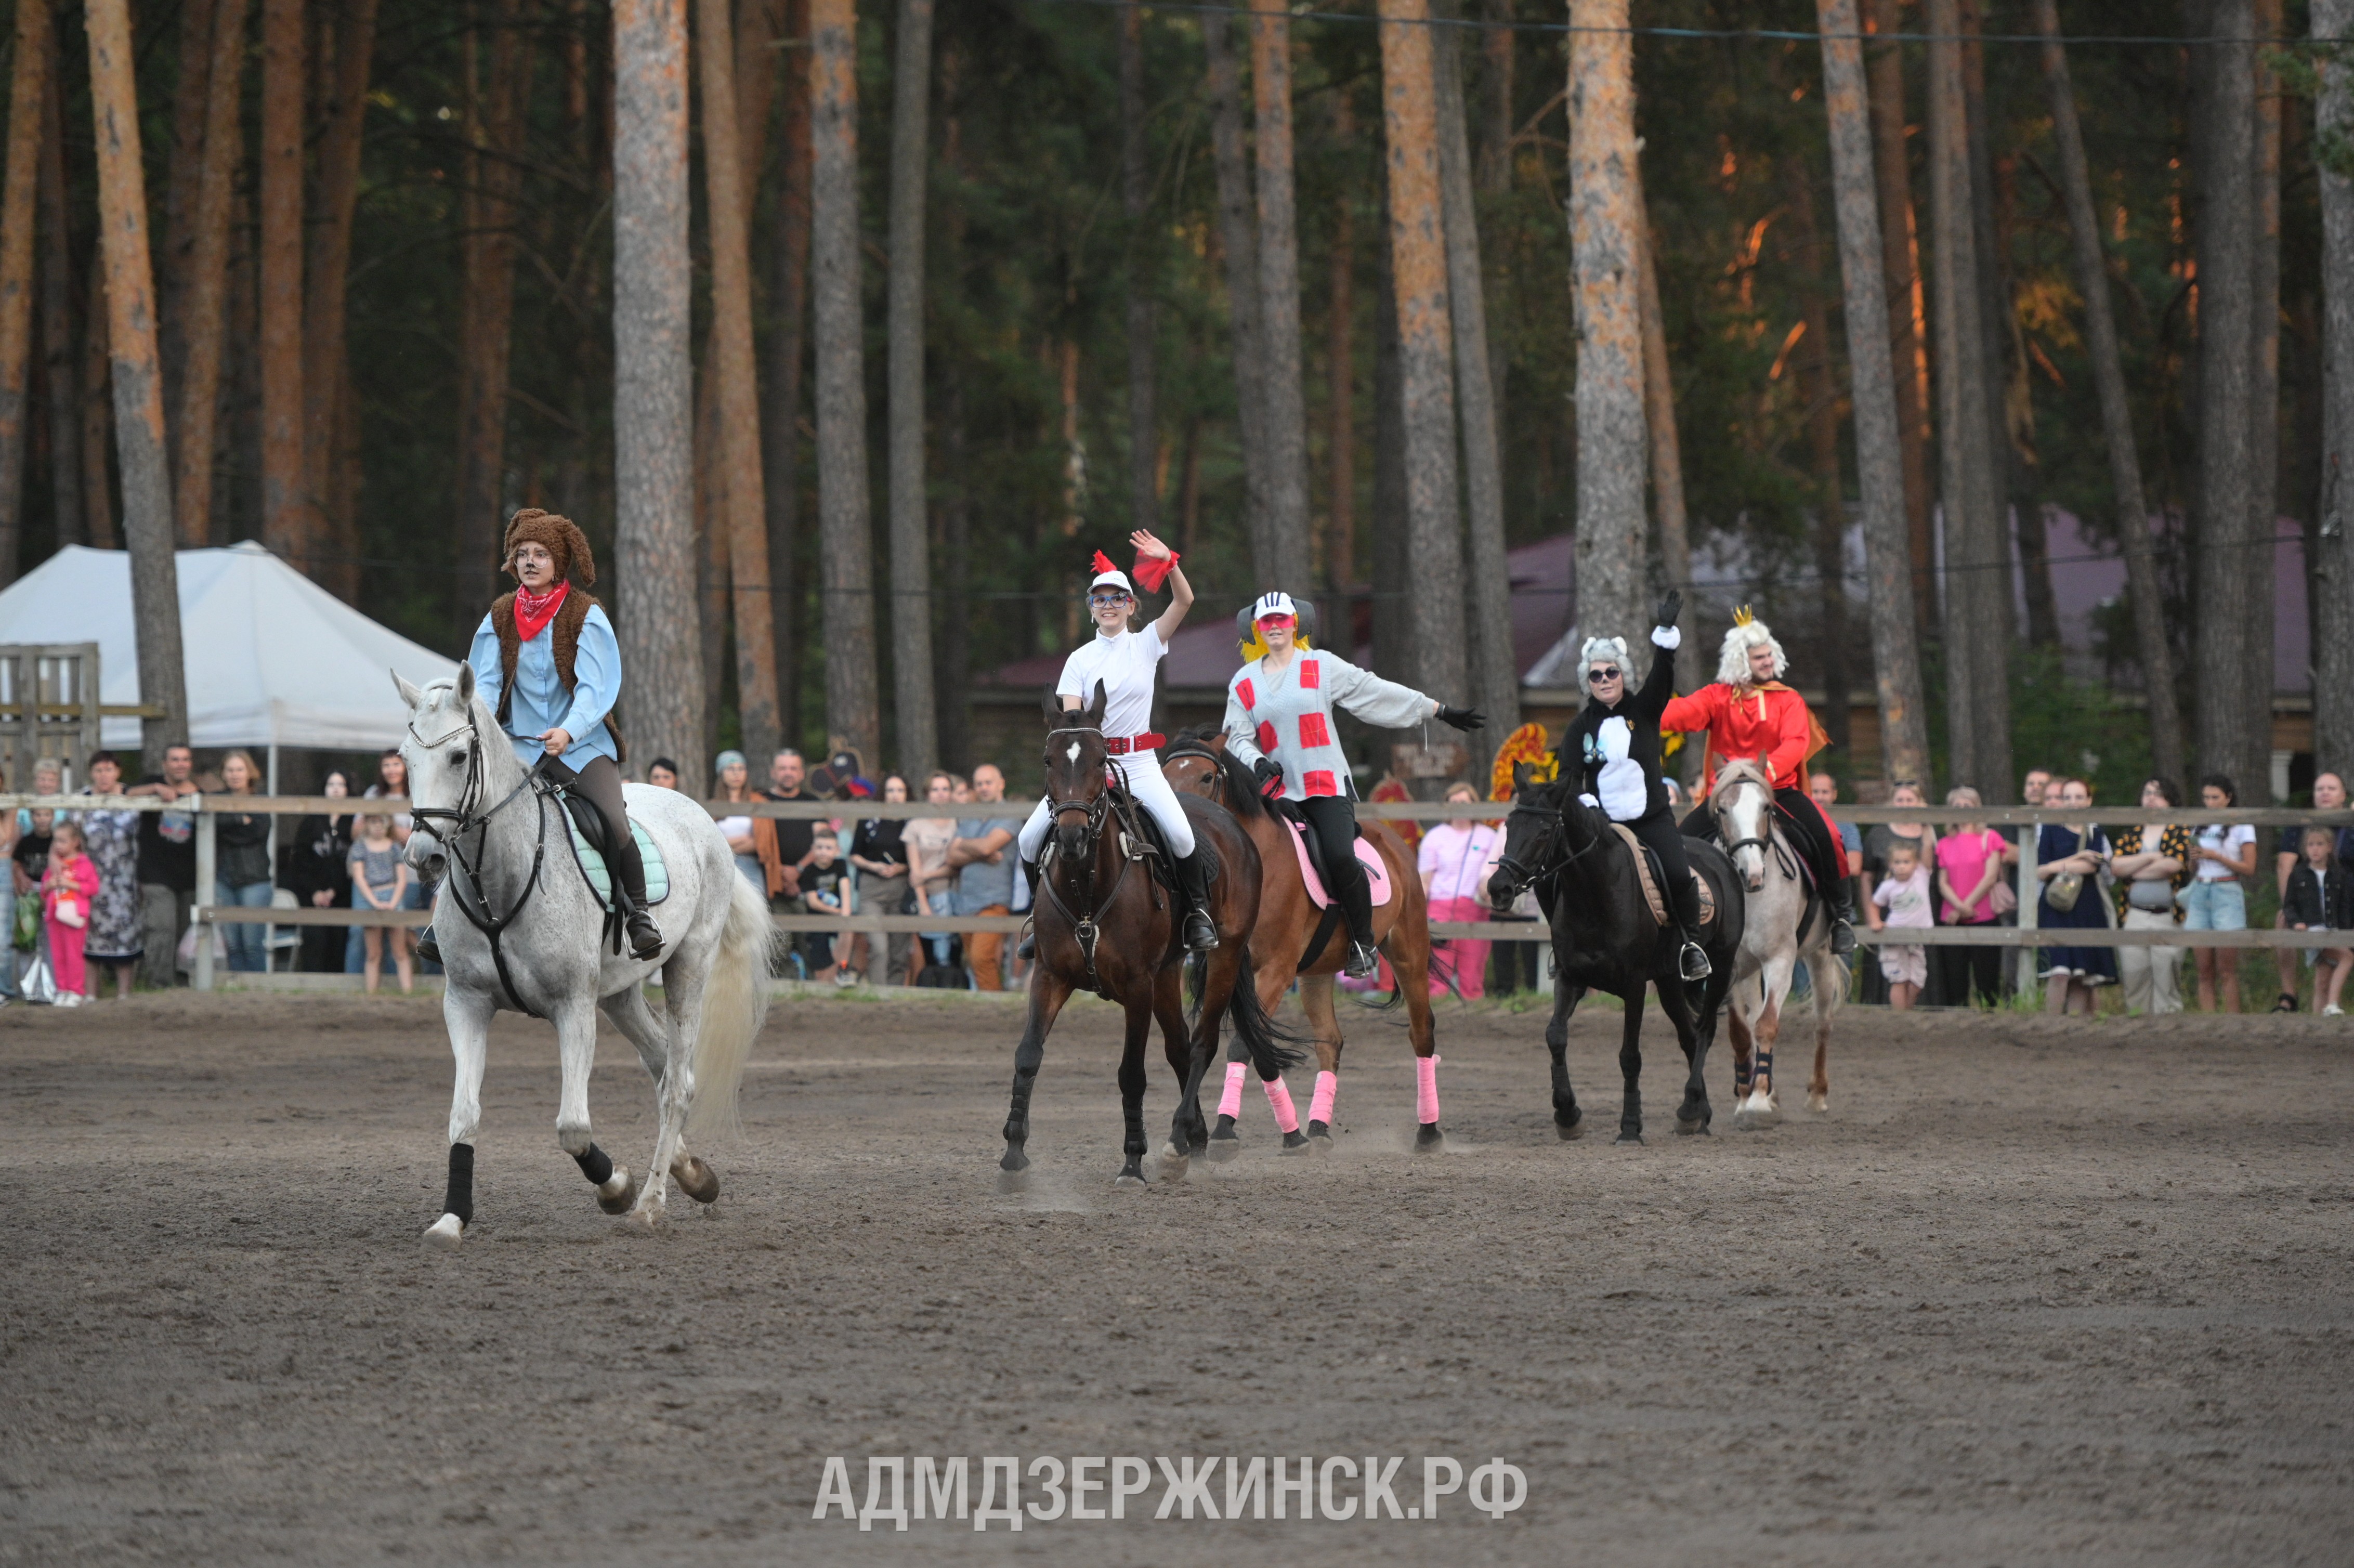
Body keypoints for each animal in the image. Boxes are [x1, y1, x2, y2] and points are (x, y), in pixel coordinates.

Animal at [395, 664, 772, 1243]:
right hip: (618, 994)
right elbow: (464, 1114)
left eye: (459, 757)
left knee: (678, 1083)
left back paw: (650, 1203)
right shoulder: (465, 1003)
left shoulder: (572, 1006)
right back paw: (692, 1174)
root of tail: (700, 816)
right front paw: (452, 1217)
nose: (423, 857)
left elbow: (572, 1127)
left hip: (689, 966)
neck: (499, 880)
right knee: (661, 1063)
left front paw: (616, 1187)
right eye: (404, 758)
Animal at [984, 683, 1299, 1186]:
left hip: (1225, 957)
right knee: (1179, 1049)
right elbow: (1028, 1054)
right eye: (1049, 760)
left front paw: (1133, 1161)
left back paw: (1177, 1143)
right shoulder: (1051, 975)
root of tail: (1230, 824)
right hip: (1167, 974)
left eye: (1099, 761)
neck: (1087, 885)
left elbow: (1131, 1072)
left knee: (1202, 1044)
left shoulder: (1136, 986)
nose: (1071, 837)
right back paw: (1193, 1139)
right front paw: (1014, 1154)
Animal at [1162, 729, 1450, 1148]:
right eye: (1164, 777)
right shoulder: (1233, 968)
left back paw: (1428, 1130)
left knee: (1422, 1031)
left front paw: (1224, 1129)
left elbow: (1242, 1045)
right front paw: (1275, 1130)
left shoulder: (1276, 971)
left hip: (1408, 951)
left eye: (1206, 777)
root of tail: (1393, 839)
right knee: (1330, 1040)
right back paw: (1318, 1127)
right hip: (1317, 971)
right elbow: (1252, 1044)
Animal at [1487, 767, 1751, 1134]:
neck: (1594, 895)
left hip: (1721, 966)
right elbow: (1555, 1036)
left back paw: (1689, 1107)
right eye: (1509, 826)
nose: (1498, 888)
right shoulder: (1570, 977)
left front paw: (1629, 1126)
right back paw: (1699, 1112)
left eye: (1544, 831)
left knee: (1705, 1030)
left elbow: (1630, 1056)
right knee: (1687, 1035)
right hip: (1669, 980)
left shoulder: (1635, 985)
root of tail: (1722, 860)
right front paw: (1567, 1113)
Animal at [1714, 758, 1836, 1125]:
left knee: (1822, 1022)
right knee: (1754, 1017)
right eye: (1722, 809)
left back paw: (1817, 1095)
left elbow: (1767, 1026)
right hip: (1750, 970)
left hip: (1820, 954)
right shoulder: (1729, 967)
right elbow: (1741, 1032)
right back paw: (1768, 1089)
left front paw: (1757, 1103)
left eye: (1766, 807)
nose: (1752, 874)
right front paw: (1748, 1096)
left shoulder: (1780, 960)